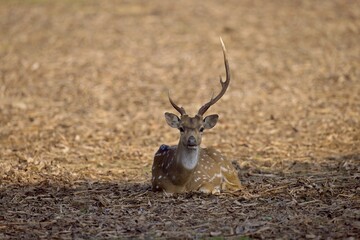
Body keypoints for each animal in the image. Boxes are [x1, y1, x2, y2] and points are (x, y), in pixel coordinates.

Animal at [150, 38, 240, 195]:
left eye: (202, 128)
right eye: (181, 128)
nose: (191, 140)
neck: (180, 183)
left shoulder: (205, 180)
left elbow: (206, 189)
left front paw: (217, 189)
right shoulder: (157, 185)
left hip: (229, 170)